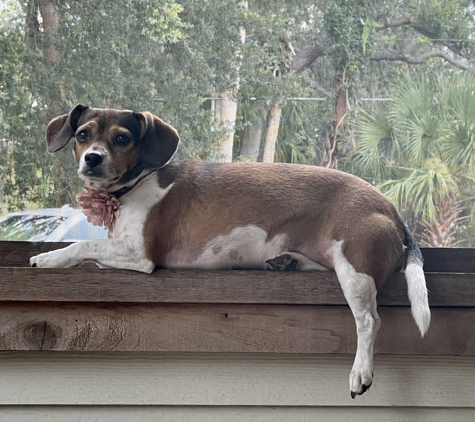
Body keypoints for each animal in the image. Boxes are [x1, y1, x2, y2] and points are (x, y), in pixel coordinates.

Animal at [29, 104, 432, 398]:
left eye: (122, 138)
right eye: (83, 134)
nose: (93, 158)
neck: (132, 188)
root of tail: (391, 209)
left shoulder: (139, 253)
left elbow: (83, 243)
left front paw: (47, 257)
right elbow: (92, 249)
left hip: (354, 270)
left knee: (369, 321)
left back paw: (360, 371)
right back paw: (288, 261)